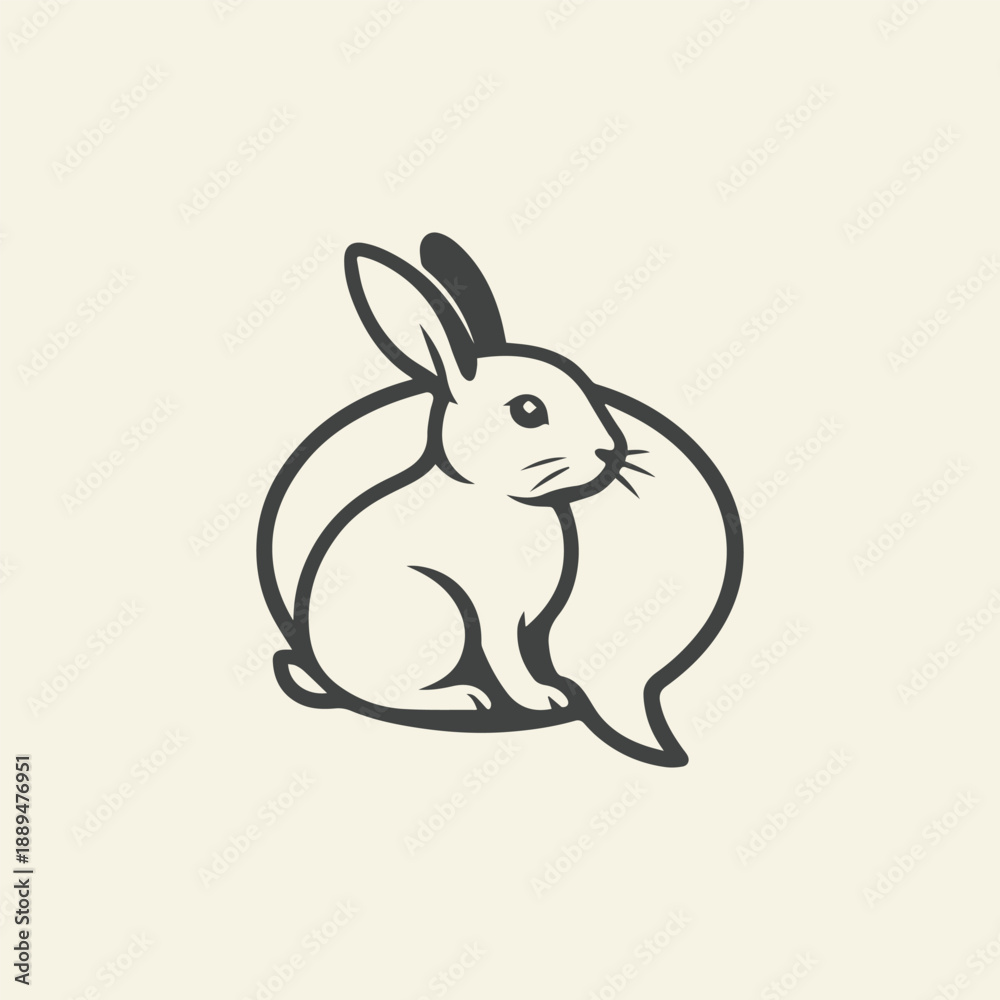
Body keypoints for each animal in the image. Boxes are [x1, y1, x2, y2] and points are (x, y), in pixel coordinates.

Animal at [267, 233, 655, 719]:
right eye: (528, 410)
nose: (610, 450)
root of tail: (326, 679)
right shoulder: (494, 611)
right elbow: (506, 658)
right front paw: (541, 700)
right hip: (435, 607)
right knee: (390, 695)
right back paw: (466, 699)